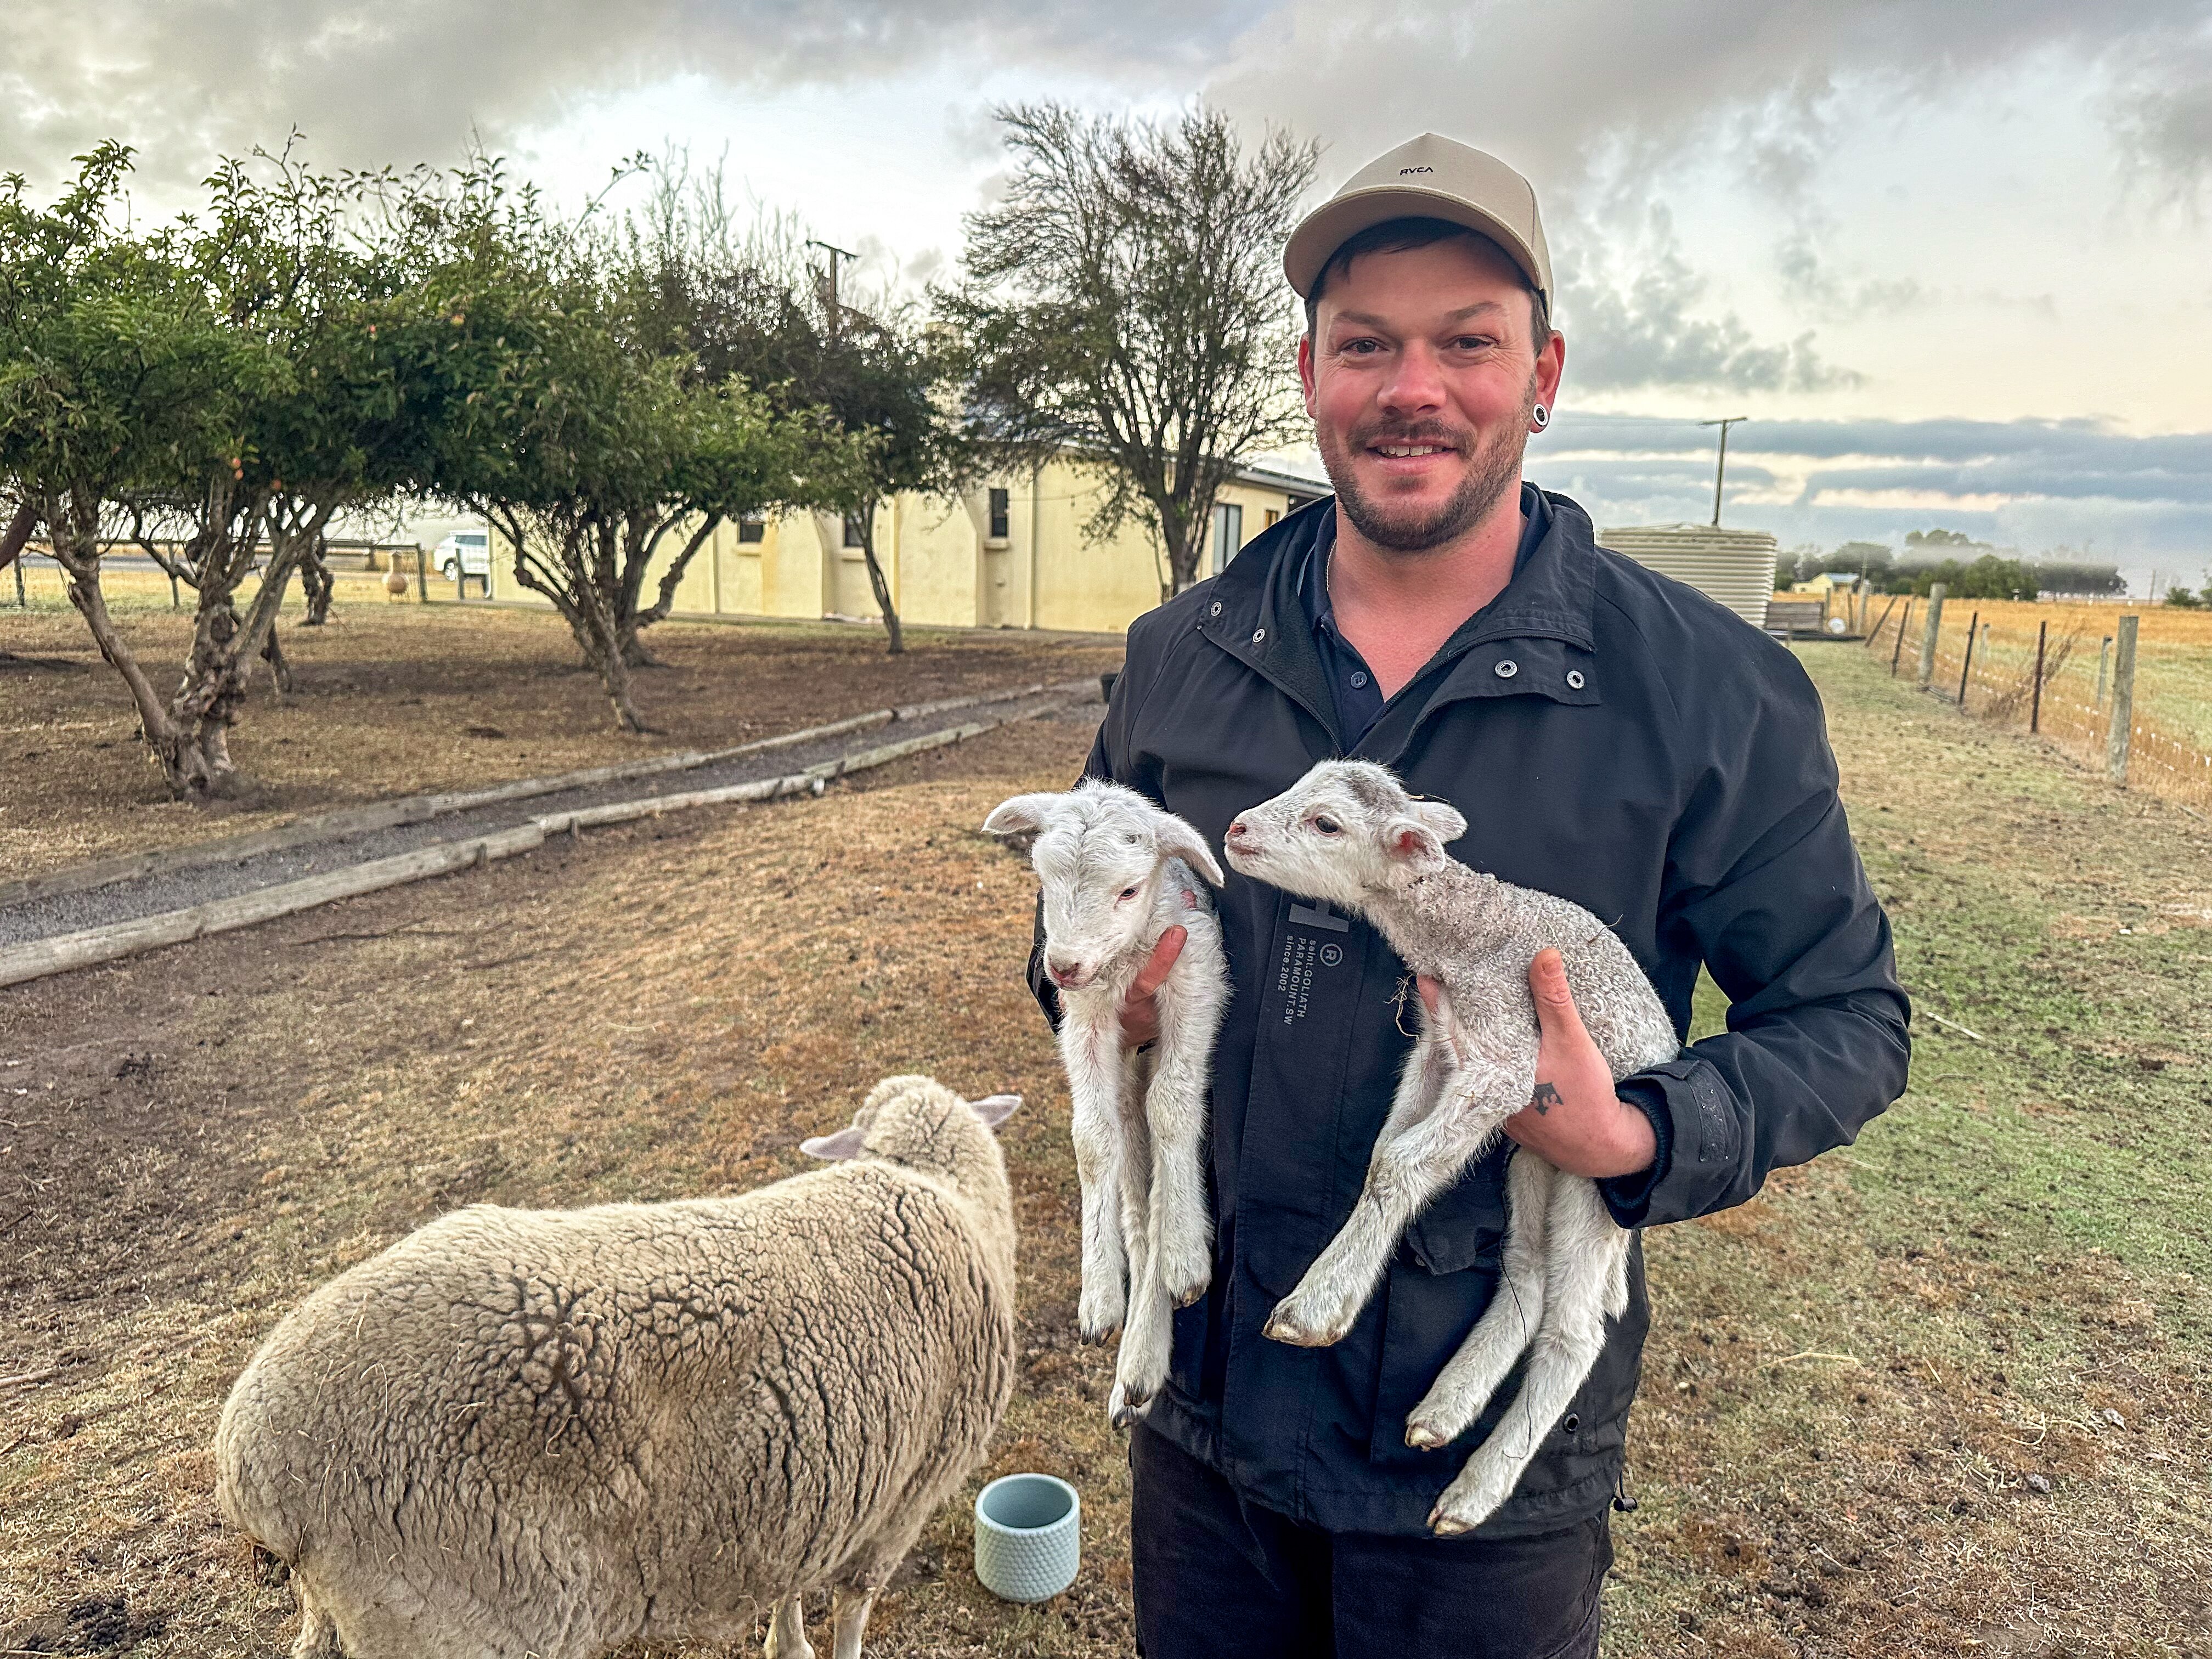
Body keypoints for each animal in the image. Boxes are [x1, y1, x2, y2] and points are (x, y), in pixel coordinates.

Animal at [213, 1074, 1021, 1659]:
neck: (933, 1192)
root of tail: (249, 1466)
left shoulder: (818, 1492)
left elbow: (792, 1589)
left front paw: (785, 1646)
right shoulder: (908, 1494)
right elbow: (852, 1608)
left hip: (340, 1610)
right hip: (449, 1619)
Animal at [983, 781, 1230, 1425]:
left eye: (1129, 890)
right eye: (1043, 879)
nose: (1062, 967)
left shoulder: (1195, 977)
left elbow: (1174, 1105)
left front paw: (1187, 1252)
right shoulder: (1088, 1018)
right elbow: (1091, 1143)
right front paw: (1097, 1293)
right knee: (1138, 1212)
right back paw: (1137, 1366)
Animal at [1223, 760, 1679, 1535]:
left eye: (1326, 824)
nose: (1236, 829)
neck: (1468, 930)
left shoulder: (1508, 1062)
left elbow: (1401, 1165)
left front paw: (1315, 1306)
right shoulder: (1440, 1049)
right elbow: (1386, 1157)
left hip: (1596, 1174)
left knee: (1576, 1330)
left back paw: (1476, 1491)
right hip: (1535, 1160)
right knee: (1527, 1271)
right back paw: (1445, 1407)